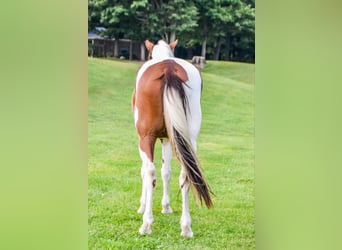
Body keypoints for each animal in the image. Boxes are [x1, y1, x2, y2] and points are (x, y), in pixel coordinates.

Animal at [132, 38, 214, 236]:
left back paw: (146, 223)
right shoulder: (168, 139)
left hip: (146, 137)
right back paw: (186, 227)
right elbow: (166, 171)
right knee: (186, 173)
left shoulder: (145, 139)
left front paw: (143, 205)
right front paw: (166, 206)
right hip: (188, 138)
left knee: (150, 172)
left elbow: (146, 171)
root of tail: (168, 67)